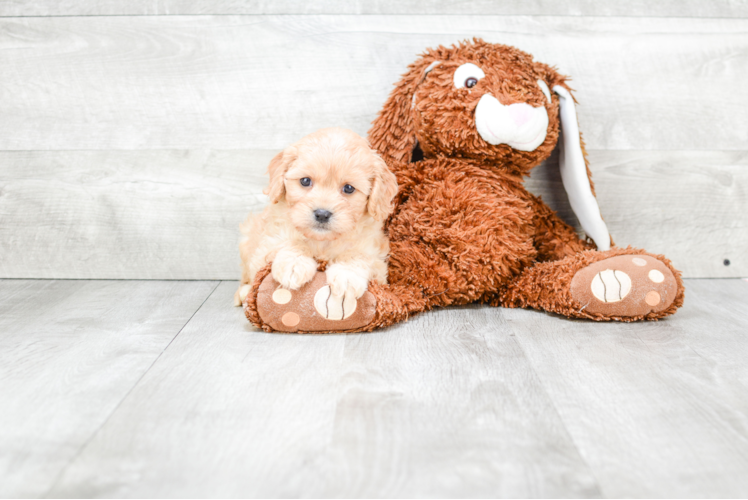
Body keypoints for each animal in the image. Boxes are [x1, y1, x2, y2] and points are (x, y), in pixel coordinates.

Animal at [235, 127, 400, 306]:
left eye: (349, 188)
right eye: (305, 181)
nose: (322, 214)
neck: (322, 241)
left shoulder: (377, 260)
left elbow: (358, 255)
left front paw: (347, 276)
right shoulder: (268, 243)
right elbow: (290, 243)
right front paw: (294, 264)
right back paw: (244, 293)